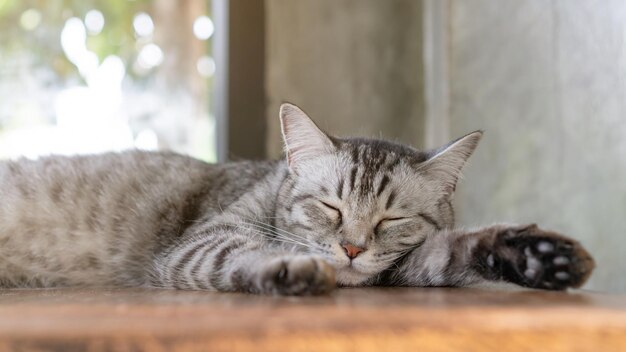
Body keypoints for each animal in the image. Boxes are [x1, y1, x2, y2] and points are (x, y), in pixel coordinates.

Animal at [0, 102, 592, 294]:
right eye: (330, 207)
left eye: (392, 219)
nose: (351, 248)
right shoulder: (201, 242)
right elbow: (242, 253)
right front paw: (289, 267)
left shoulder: (396, 268)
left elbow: (449, 251)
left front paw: (536, 256)